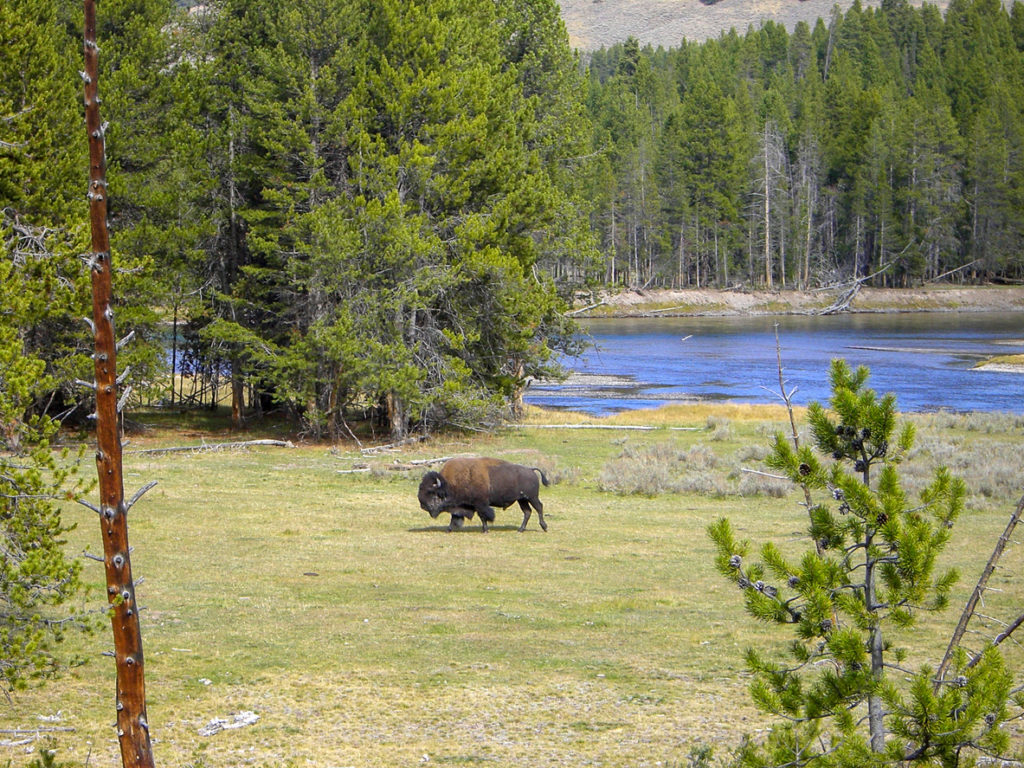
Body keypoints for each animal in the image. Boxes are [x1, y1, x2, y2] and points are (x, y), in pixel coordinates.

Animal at [417, 456, 552, 536]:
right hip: (522, 500)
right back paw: (520, 530)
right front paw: (448, 529)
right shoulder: (462, 506)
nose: (423, 506)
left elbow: (483, 517)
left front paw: (485, 530)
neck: (450, 483)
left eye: (431, 491)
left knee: (539, 508)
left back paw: (544, 527)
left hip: (532, 498)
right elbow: (454, 517)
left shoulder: (480, 504)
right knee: (527, 512)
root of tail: (531, 470)